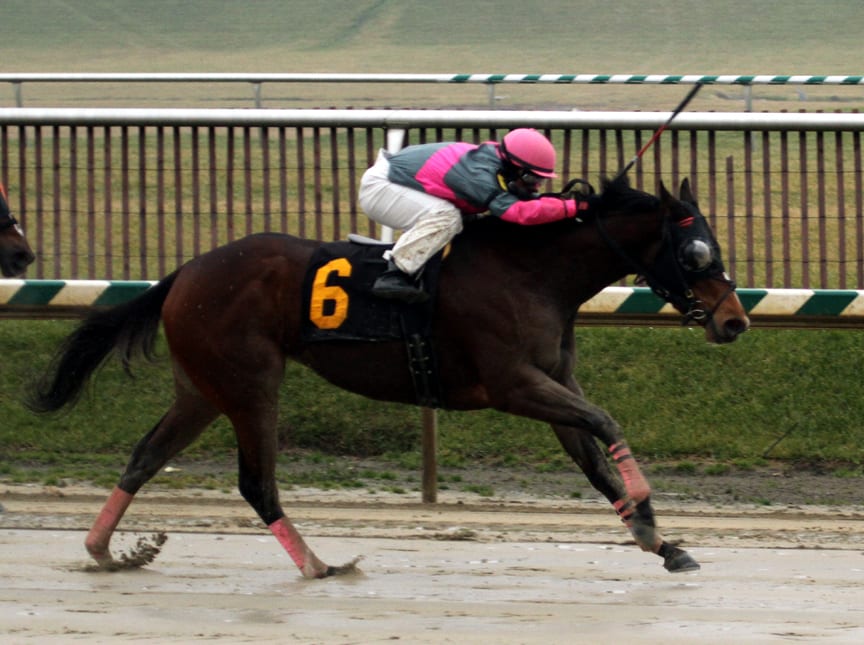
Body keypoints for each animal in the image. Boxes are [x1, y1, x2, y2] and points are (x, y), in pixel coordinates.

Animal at [27, 176, 748, 580]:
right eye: (696, 251)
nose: (736, 320)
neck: (531, 271)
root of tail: (185, 270)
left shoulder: (550, 384)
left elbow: (595, 460)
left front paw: (659, 539)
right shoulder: (513, 385)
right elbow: (606, 421)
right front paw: (649, 509)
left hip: (201, 388)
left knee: (145, 456)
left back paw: (104, 550)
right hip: (250, 383)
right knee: (256, 481)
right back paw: (319, 564)